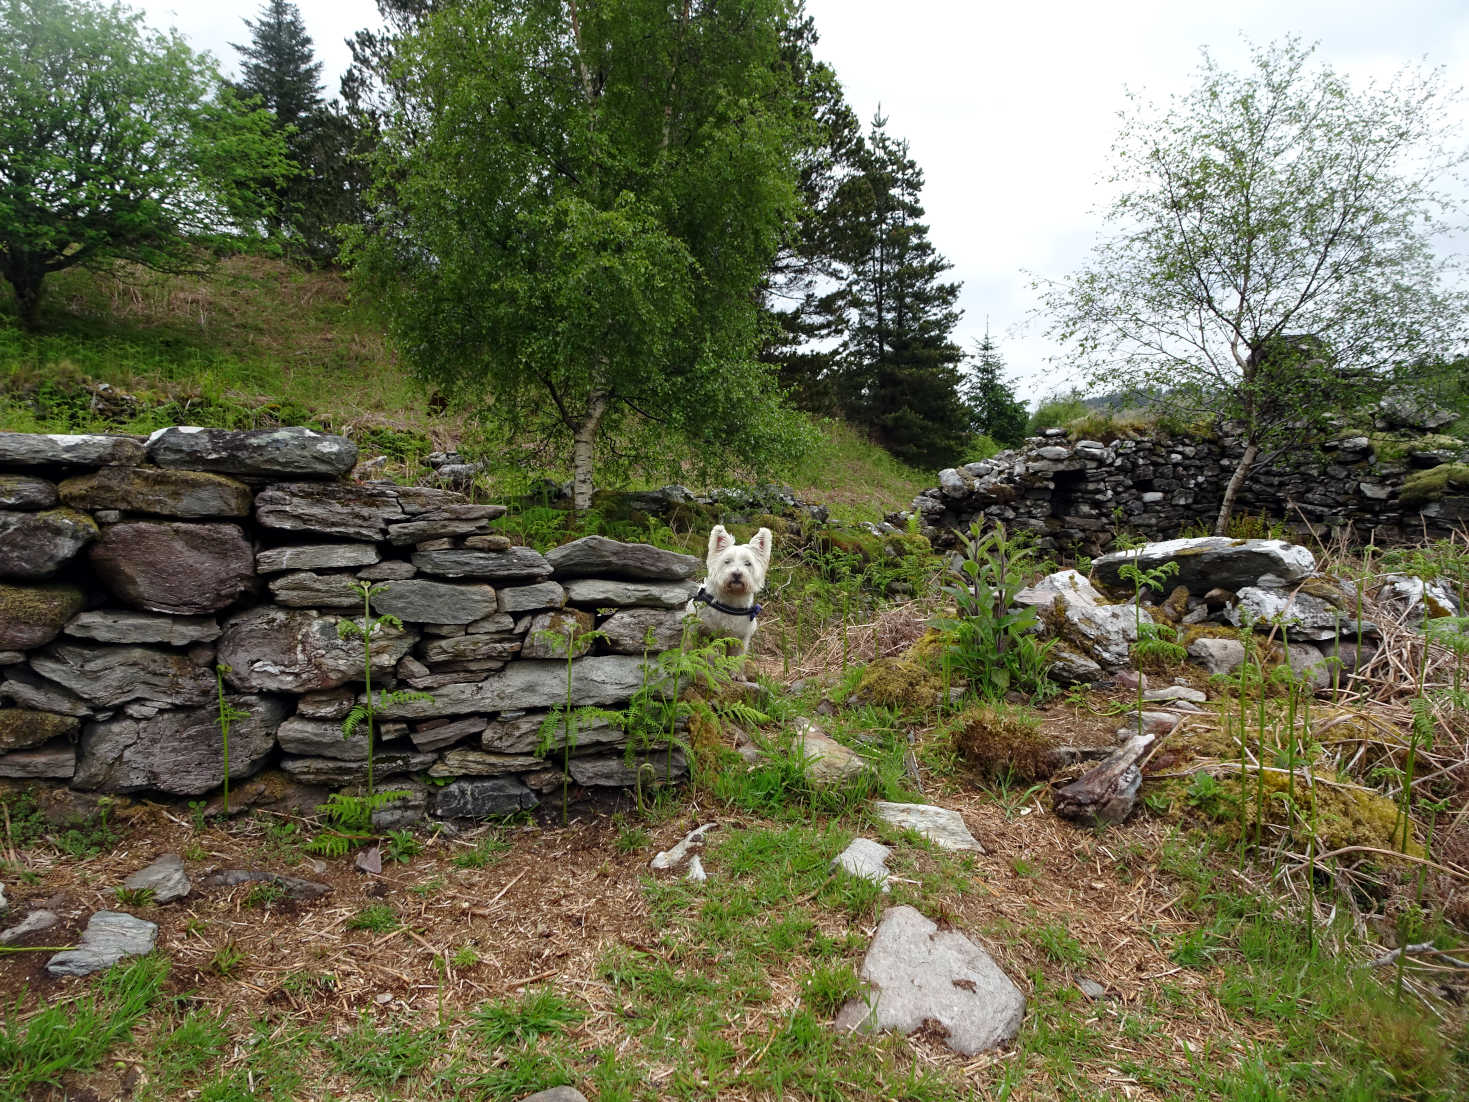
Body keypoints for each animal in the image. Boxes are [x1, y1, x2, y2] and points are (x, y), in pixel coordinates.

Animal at [687, 526, 775, 655]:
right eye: (727, 561)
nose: (737, 574)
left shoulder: (739, 640)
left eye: (748, 563)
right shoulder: (696, 629)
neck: (731, 600)